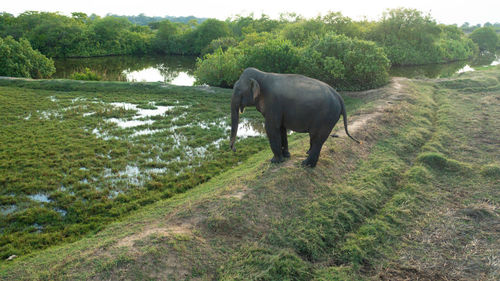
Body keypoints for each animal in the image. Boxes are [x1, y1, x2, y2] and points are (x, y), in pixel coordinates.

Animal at [230, 67, 360, 166]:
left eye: (239, 91)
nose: (234, 149)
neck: (262, 74)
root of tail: (339, 96)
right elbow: (281, 128)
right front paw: (286, 156)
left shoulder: (273, 103)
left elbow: (271, 128)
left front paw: (275, 161)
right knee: (315, 137)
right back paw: (307, 154)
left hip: (326, 117)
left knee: (317, 137)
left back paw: (306, 165)